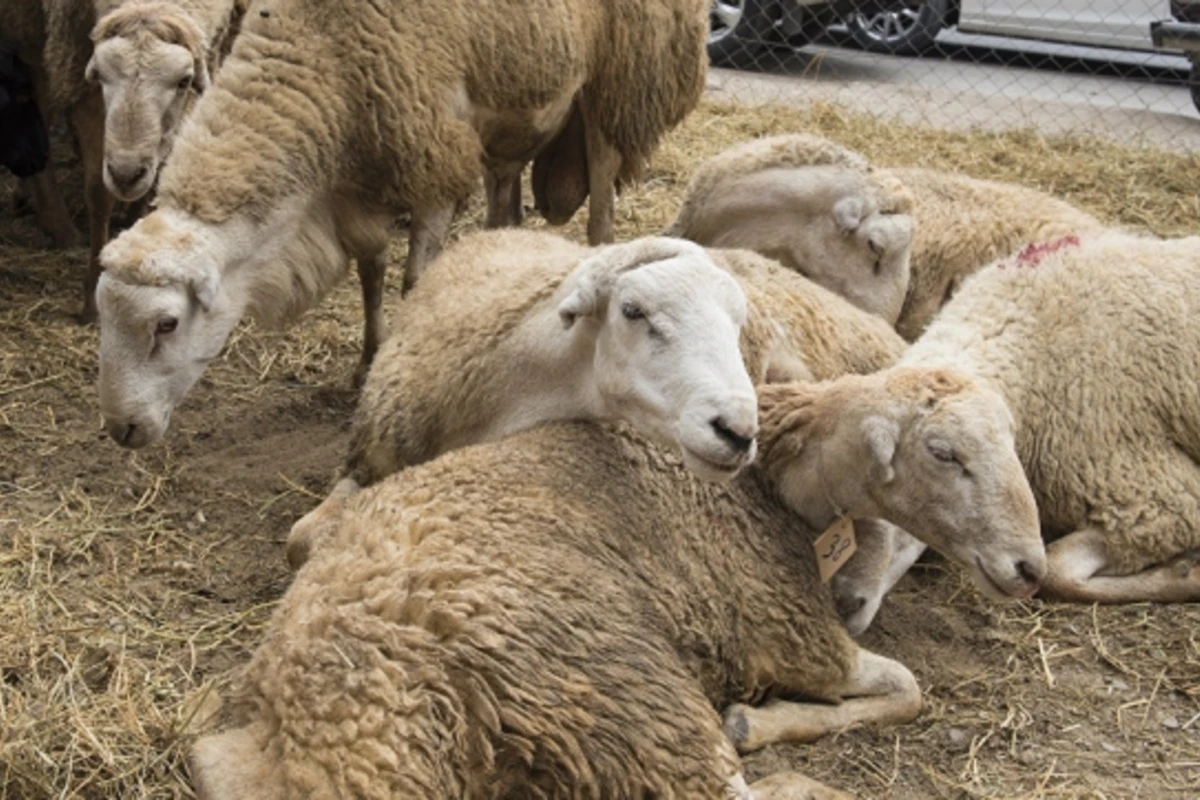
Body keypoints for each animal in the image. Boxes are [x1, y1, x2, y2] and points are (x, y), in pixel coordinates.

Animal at [96, 0, 710, 443]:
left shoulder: (433, 160)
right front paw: (367, 364)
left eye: (166, 324)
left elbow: (415, 283)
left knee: (601, 205)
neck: (323, 55)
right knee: (505, 208)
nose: (123, 430)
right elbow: (371, 272)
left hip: (614, 87)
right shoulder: (354, 190)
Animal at [192, 371, 1046, 800]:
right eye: (944, 452)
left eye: (1010, 441)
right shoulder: (793, 637)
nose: (1030, 568)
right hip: (626, 690)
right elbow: (906, 687)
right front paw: (762, 721)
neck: (764, 486)